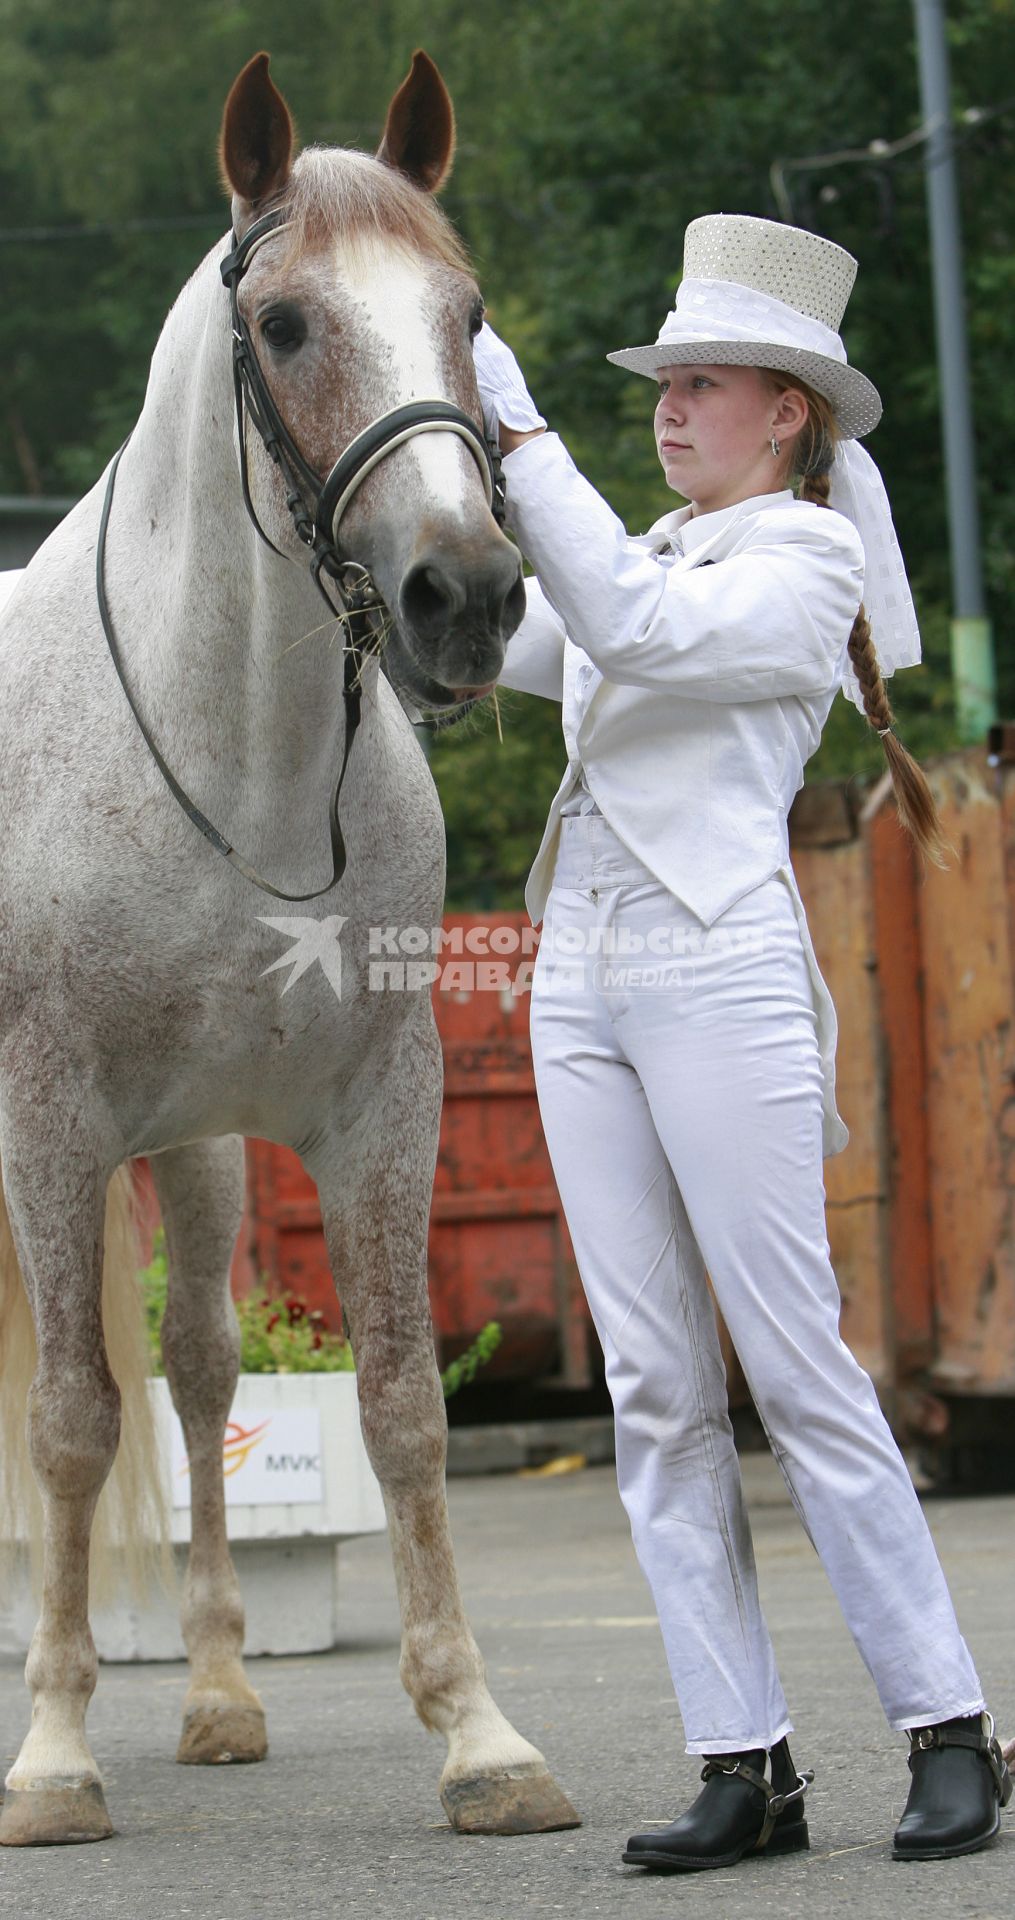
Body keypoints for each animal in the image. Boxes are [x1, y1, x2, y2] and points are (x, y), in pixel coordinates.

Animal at [0, 45, 579, 1843]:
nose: (464, 592)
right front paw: (51, 1760)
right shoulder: (46, 1124)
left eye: (466, 310)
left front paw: (478, 1734)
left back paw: (217, 1693)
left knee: (195, 1376)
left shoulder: (370, 1108)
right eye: (285, 324)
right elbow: (67, 1424)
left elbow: (394, 1402)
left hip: (189, 1156)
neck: (231, 754)